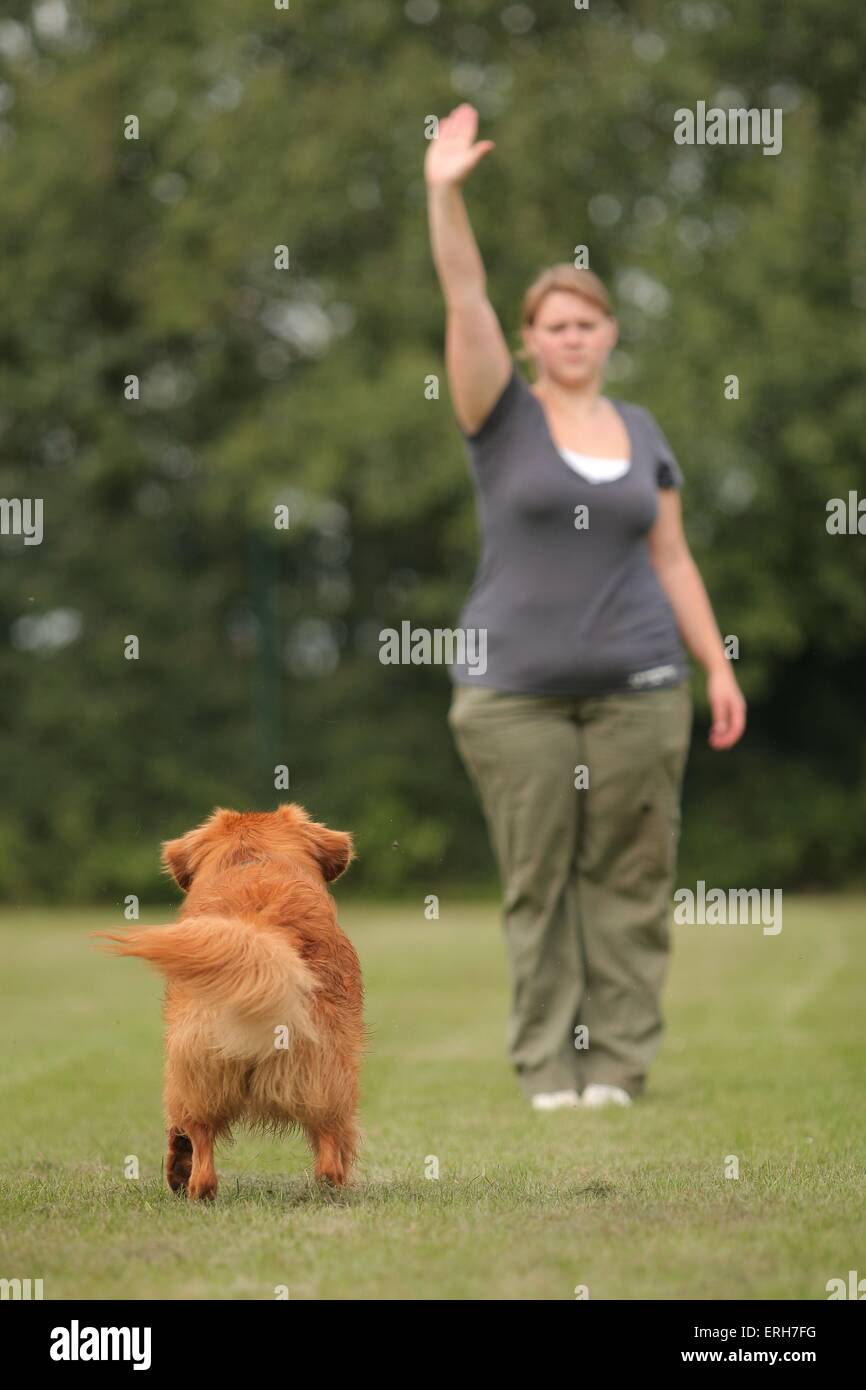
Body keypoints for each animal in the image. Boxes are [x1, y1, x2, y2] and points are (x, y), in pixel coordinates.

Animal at [93, 811, 364, 1200]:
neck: (253, 864)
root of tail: (260, 930)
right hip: (325, 1081)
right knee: (328, 1148)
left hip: (192, 1073)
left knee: (197, 1138)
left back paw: (188, 1182)